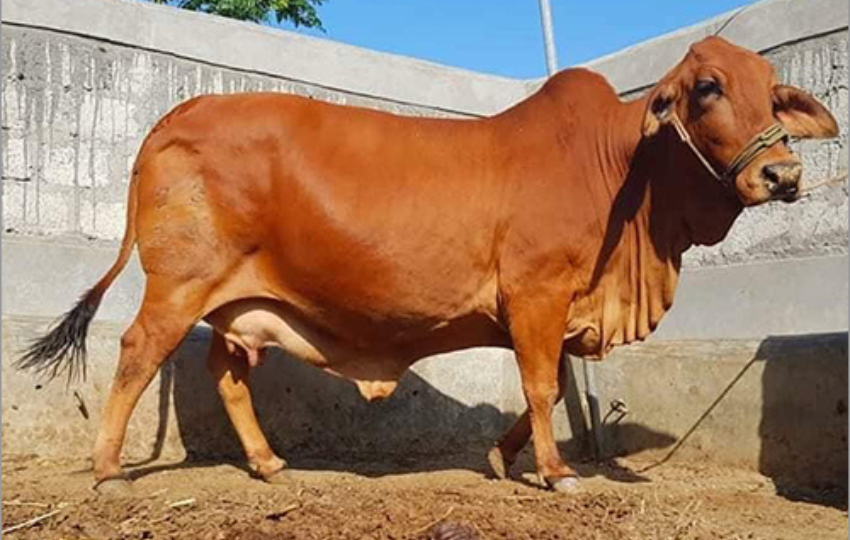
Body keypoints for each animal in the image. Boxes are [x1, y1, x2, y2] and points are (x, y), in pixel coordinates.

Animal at [18, 36, 837, 495]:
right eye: (707, 88)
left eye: (775, 95)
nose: (784, 176)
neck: (623, 175)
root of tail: (178, 114)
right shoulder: (537, 293)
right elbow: (542, 386)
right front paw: (557, 472)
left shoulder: (552, 308)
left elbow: (545, 387)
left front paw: (505, 459)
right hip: (179, 286)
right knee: (136, 353)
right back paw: (109, 470)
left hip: (237, 304)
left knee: (226, 373)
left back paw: (268, 463)